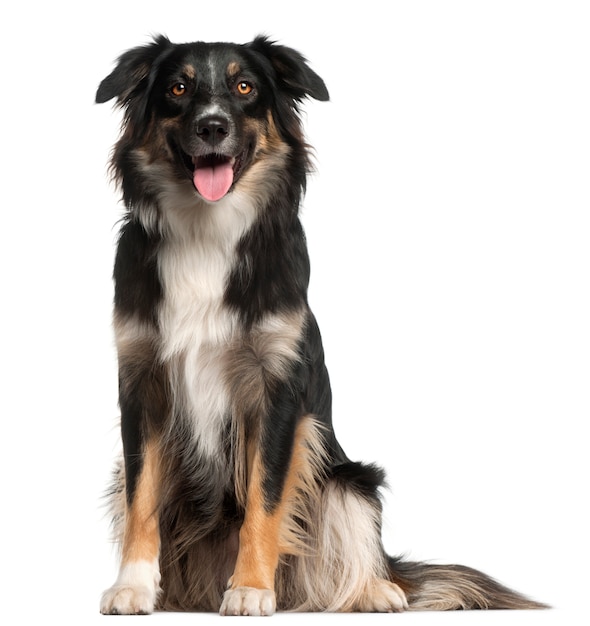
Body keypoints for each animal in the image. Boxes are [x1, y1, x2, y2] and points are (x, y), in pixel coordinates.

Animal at [96, 34, 544, 616]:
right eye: (177, 87)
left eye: (245, 87)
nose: (213, 126)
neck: (206, 232)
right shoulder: (142, 379)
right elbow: (142, 494)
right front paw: (133, 585)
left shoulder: (278, 389)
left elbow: (264, 499)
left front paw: (252, 588)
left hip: (347, 478)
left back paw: (375, 590)